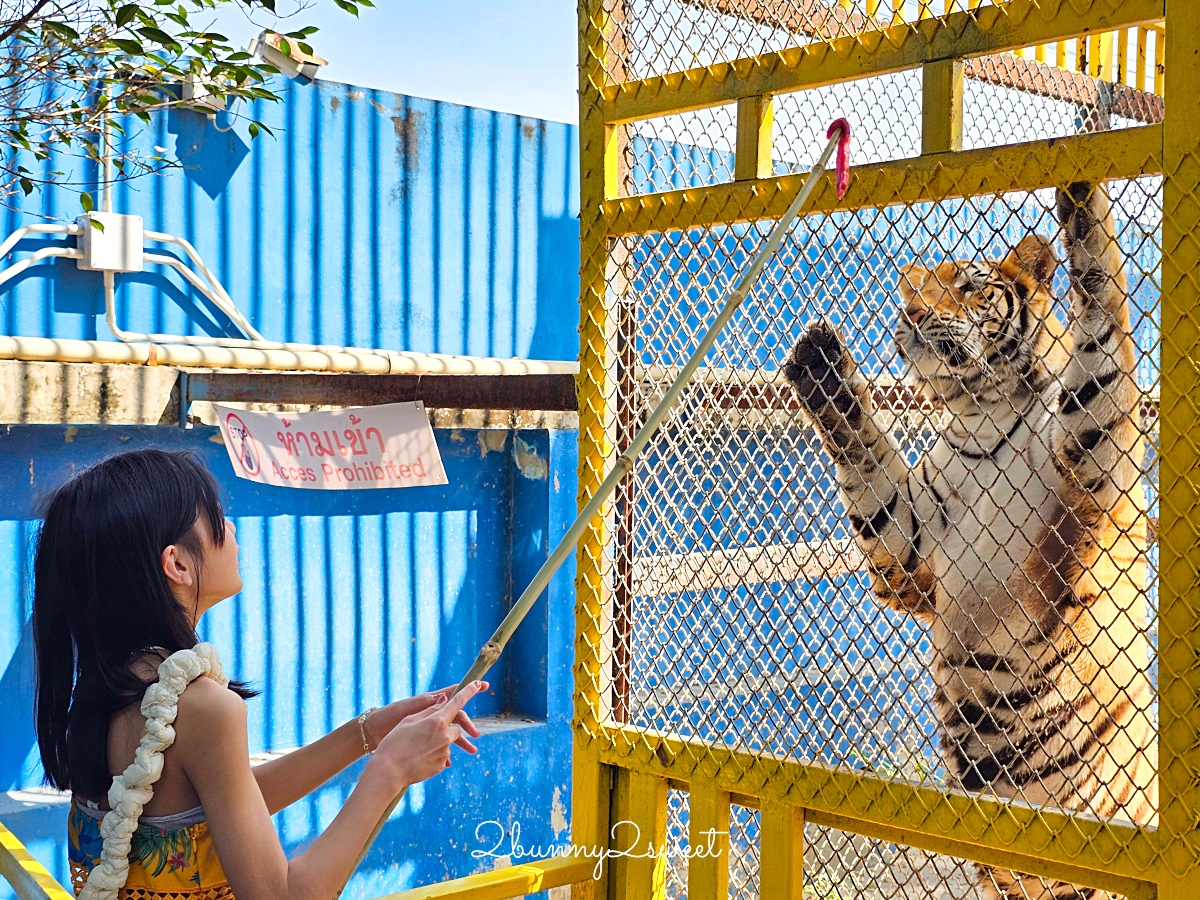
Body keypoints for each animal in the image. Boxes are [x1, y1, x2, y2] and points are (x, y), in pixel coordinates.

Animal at [782, 180, 1156, 897]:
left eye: (968, 286)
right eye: (918, 289)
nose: (914, 312)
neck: (980, 413)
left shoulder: (1093, 455)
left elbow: (1100, 295)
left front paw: (1080, 188)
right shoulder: (911, 542)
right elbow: (868, 465)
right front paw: (820, 367)